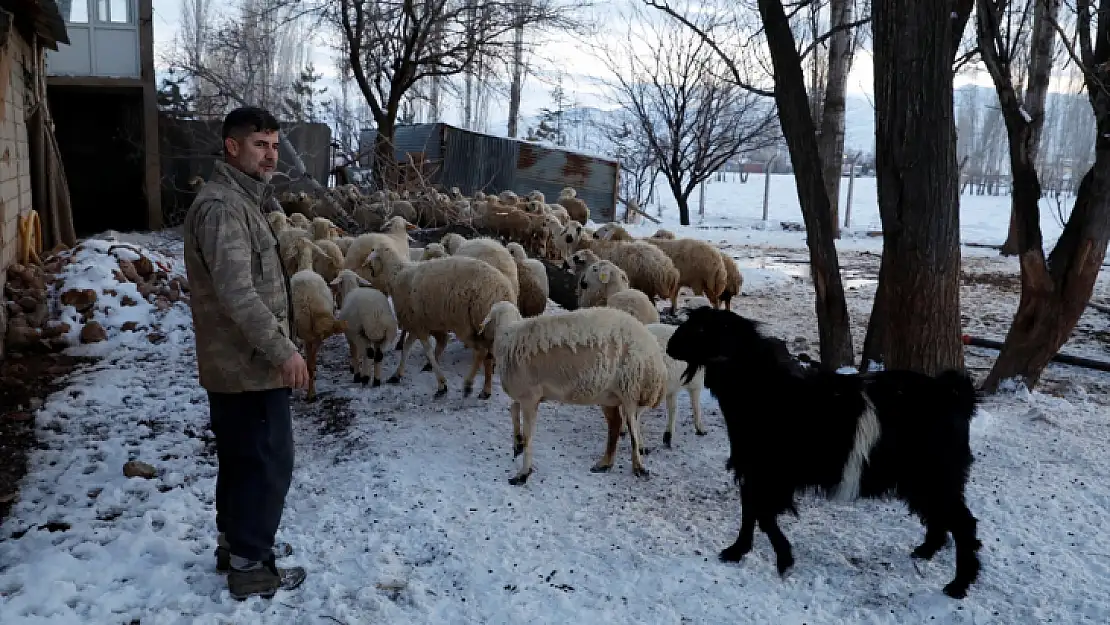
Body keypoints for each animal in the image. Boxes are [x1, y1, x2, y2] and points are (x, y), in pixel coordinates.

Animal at [357, 242, 512, 399]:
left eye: (373, 252)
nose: (370, 271)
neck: (396, 274)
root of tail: (504, 291)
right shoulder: (416, 325)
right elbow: (406, 348)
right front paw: (397, 375)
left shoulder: (419, 326)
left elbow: (429, 352)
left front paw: (442, 385)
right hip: (487, 329)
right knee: (488, 356)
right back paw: (486, 390)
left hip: (465, 325)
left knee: (481, 352)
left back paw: (468, 385)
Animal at [477, 301, 666, 484]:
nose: (480, 334)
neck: (507, 337)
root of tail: (653, 349)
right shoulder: (527, 395)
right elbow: (513, 409)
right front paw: (517, 443)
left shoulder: (529, 396)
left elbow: (528, 435)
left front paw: (523, 473)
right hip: (608, 395)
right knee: (615, 424)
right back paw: (605, 464)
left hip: (630, 389)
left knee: (632, 431)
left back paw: (638, 466)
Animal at [666, 308, 981, 599]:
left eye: (702, 328)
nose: (669, 346)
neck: (764, 389)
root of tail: (954, 396)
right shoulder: (752, 470)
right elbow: (750, 511)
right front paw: (737, 551)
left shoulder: (771, 474)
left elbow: (763, 515)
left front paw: (784, 561)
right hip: (925, 480)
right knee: (940, 517)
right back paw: (926, 551)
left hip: (936, 476)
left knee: (964, 524)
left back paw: (958, 585)